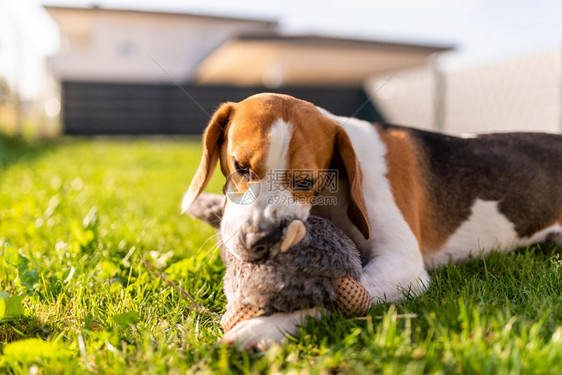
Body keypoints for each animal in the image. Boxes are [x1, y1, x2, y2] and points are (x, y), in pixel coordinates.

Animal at [182, 92, 556, 352]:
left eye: (305, 181)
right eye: (240, 166)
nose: (260, 240)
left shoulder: (403, 266)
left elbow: (337, 295)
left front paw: (265, 327)